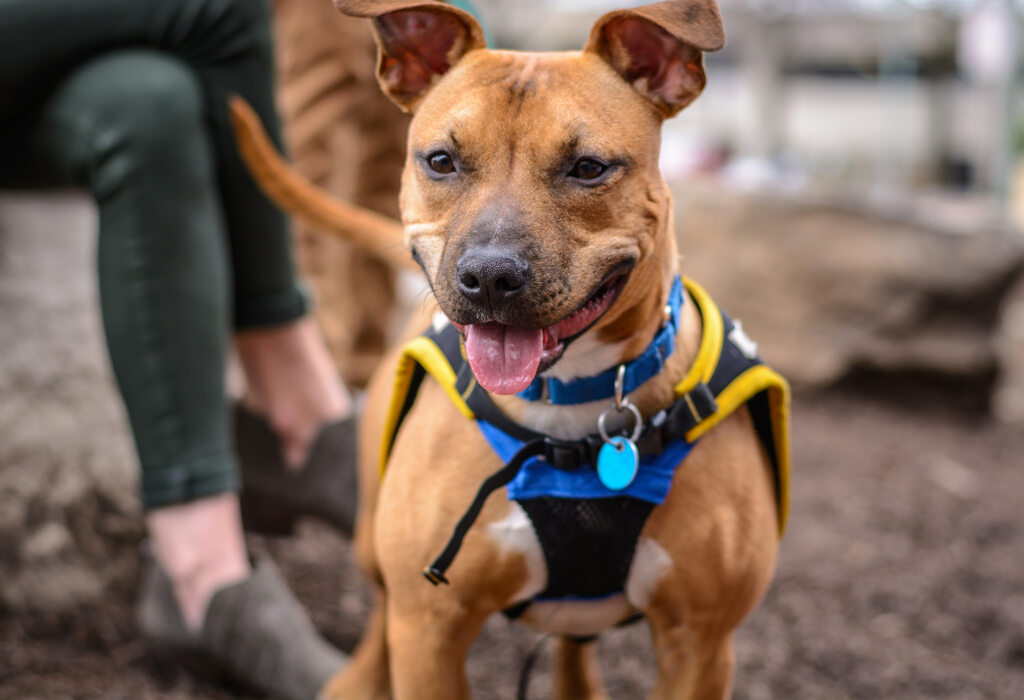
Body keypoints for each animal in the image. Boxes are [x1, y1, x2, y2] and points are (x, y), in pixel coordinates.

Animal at [234, 2, 790, 695]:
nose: (491, 276)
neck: (570, 406)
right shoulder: (430, 629)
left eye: (588, 168)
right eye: (441, 160)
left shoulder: (702, 642)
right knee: (379, 616)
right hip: (375, 551)